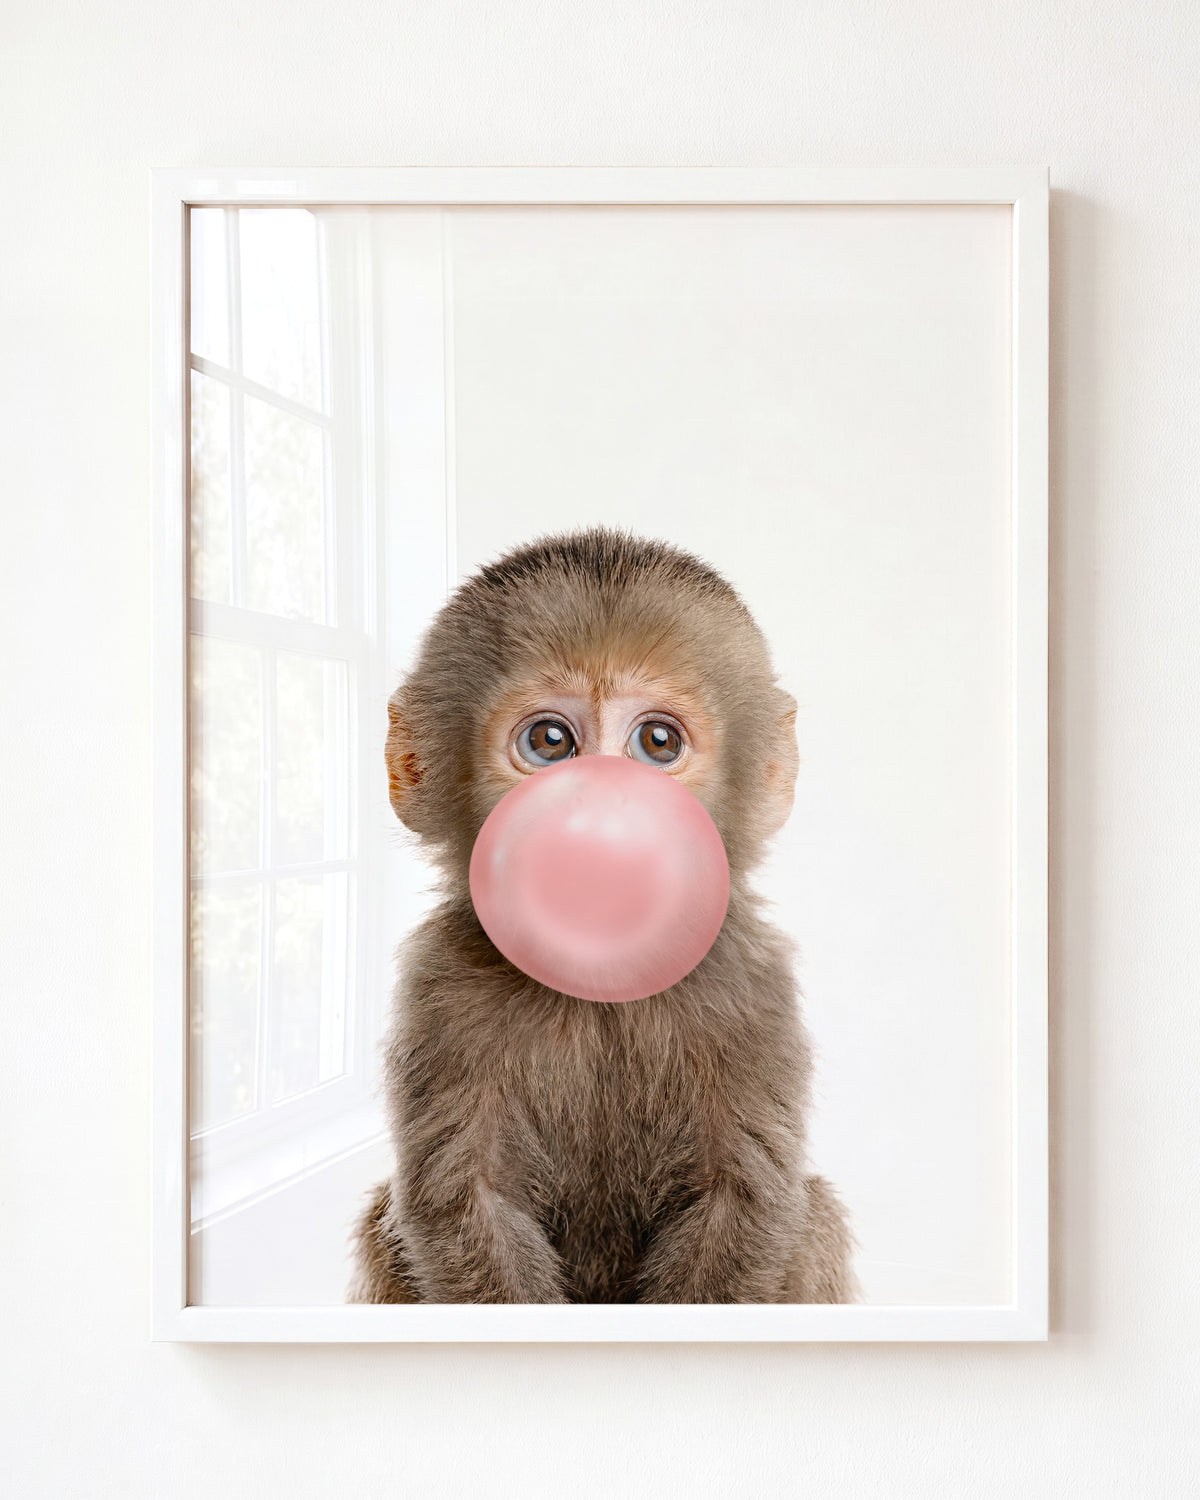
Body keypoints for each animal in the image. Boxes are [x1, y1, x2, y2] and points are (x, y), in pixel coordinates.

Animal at [349, 527, 856, 1304]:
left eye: (657, 743)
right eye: (550, 742)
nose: (602, 813)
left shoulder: (752, 983)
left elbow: (741, 1201)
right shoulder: (441, 987)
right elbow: (467, 1201)